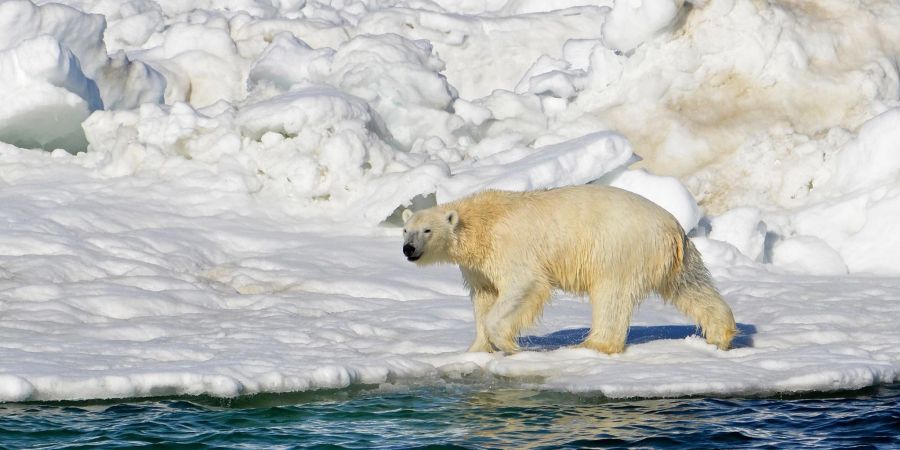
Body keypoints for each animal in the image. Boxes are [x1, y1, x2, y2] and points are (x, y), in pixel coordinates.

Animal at [404, 185, 736, 354]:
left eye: (427, 230)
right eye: (406, 230)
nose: (408, 249)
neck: (481, 222)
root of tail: (672, 227)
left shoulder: (510, 248)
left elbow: (524, 285)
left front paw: (509, 344)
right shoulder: (478, 266)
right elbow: (484, 297)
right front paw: (476, 349)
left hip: (619, 249)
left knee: (611, 296)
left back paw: (594, 344)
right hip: (675, 257)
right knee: (691, 287)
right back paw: (721, 334)